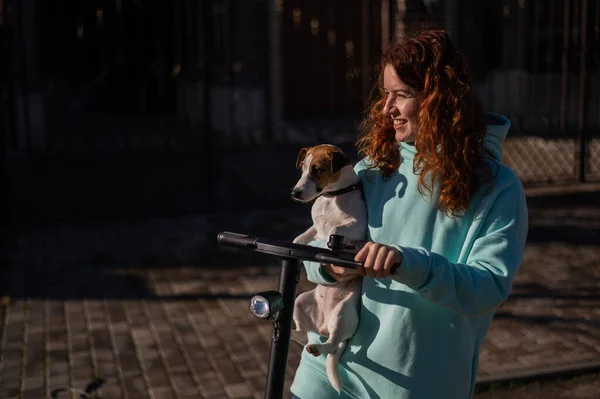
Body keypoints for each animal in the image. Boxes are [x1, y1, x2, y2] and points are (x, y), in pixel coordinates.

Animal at [290, 145, 368, 394]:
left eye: (317, 169)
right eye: (303, 169)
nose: (295, 193)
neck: (332, 198)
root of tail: (324, 326)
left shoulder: (358, 227)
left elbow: (334, 230)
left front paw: (329, 246)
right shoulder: (314, 228)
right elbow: (300, 237)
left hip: (342, 313)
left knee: (332, 345)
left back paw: (320, 347)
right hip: (301, 302)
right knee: (303, 335)